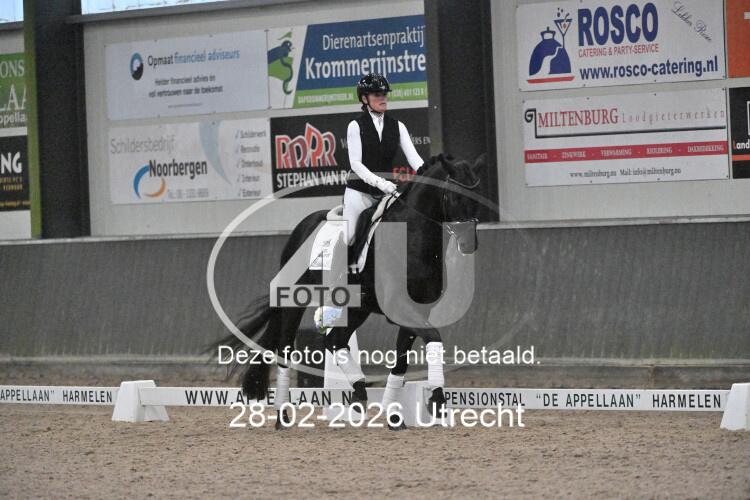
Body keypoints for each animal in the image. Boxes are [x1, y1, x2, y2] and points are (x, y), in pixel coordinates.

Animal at [220, 154, 483, 428]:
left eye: (478, 197)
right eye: (455, 197)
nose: (469, 244)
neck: (411, 238)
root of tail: (302, 227)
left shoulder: (416, 311)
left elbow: (401, 361)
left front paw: (393, 416)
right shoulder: (400, 308)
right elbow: (434, 337)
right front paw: (438, 399)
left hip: (358, 307)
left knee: (334, 340)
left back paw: (358, 393)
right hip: (295, 300)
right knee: (286, 351)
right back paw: (283, 415)